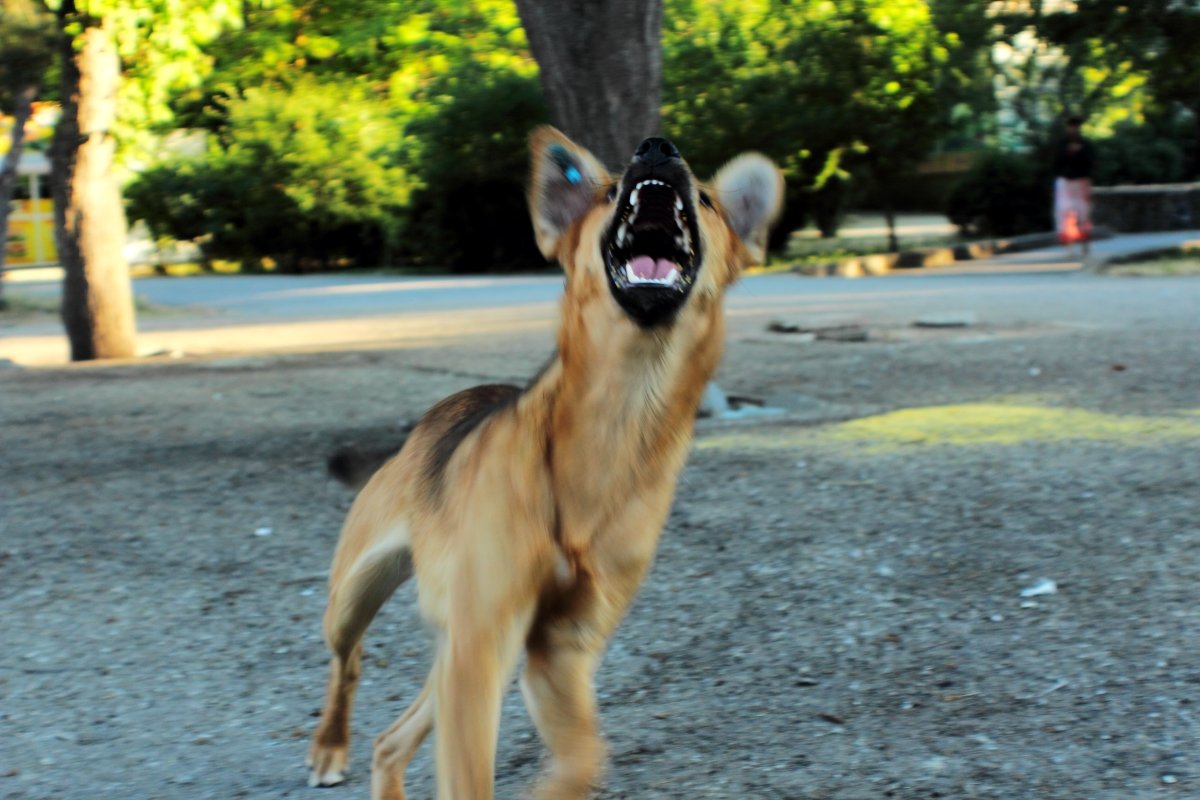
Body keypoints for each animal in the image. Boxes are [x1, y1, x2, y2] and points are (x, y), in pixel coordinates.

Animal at [304, 128, 782, 796]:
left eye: (709, 202)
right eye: (605, 193)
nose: (657, 149)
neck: (623, 412)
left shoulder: (555, 650)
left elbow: (584, 758)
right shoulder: (483, 649)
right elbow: (472, 778)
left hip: (464, 654)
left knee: (391, 741)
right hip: (355, 599)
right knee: (346, 663)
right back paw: (329, 746)